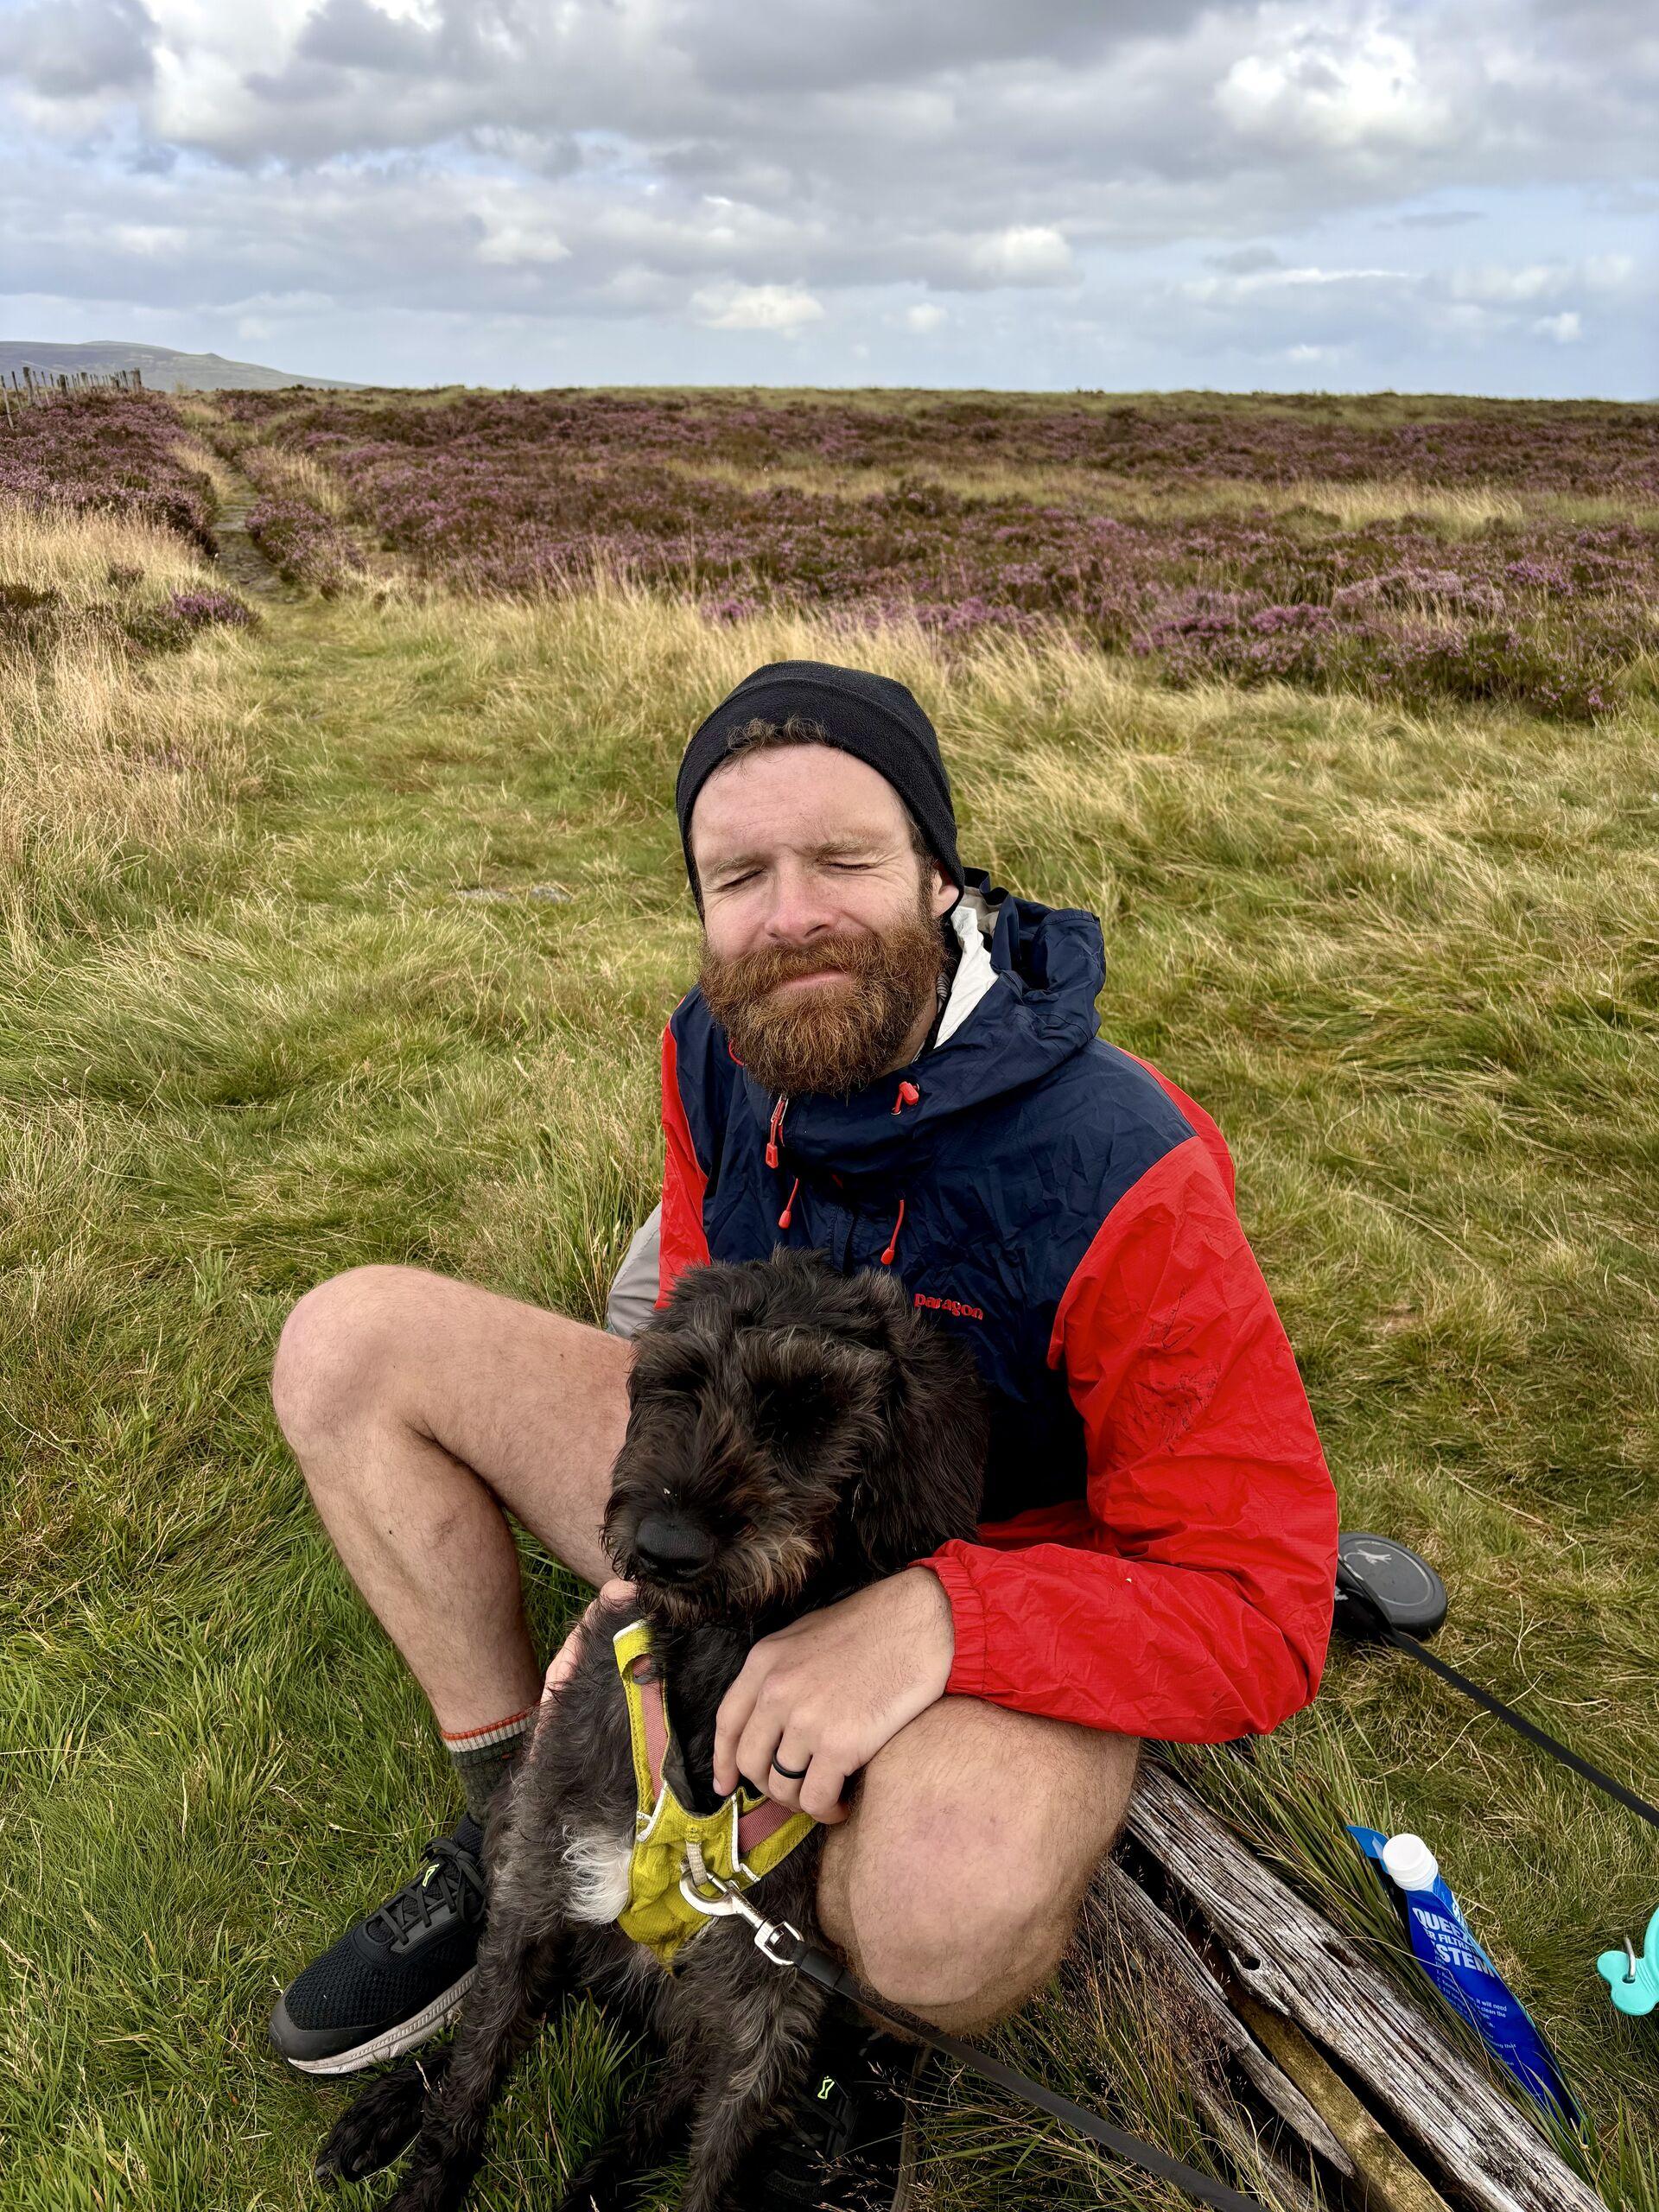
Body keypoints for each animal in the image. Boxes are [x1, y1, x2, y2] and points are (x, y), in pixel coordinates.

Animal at [314, 1256, 986, 2202]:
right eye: (677, 1383)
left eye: (805, 1409)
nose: (665, 1545)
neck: (714, 1671)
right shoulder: (541, 1886)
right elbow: (473, 2074)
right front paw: (425, 2180)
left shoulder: (766, 2008)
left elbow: (713, 2168)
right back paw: (385, 2109)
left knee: (648, 2117)